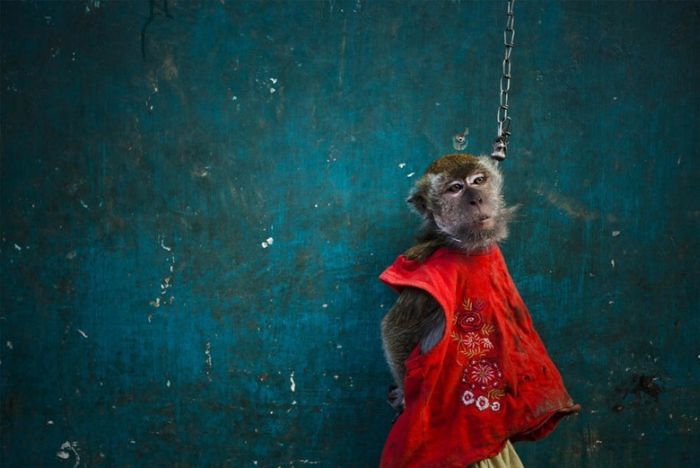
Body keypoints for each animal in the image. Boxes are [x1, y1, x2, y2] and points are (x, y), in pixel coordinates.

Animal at [380, 154, 576, 468]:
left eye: (478, 180)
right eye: (455, 188)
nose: (476, 199)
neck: (460, 245)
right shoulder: (432, 278)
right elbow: (393, 330)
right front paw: (405, 402)